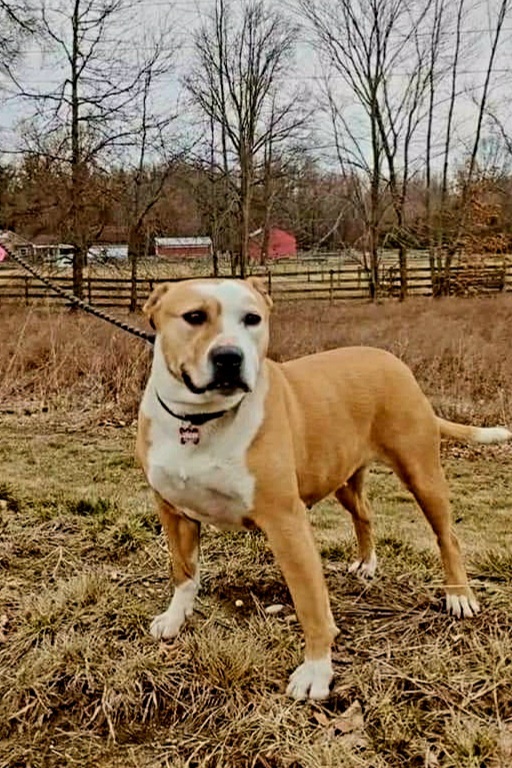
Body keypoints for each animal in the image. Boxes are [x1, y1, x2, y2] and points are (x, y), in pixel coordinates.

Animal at [137, 278, 512, 704]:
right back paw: (366, 564)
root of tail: (392, 360)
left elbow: (311, 604)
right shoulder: (172, 510)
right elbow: (183, 572)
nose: (230, 357)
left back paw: (459, 595)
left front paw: (317, 671)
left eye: (252, 319)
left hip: (421, 473)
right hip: (341, 476)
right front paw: (174, 619)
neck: (200, 420)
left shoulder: (286, 523)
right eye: (194, 316)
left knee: (447, 535)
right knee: (364, 513)